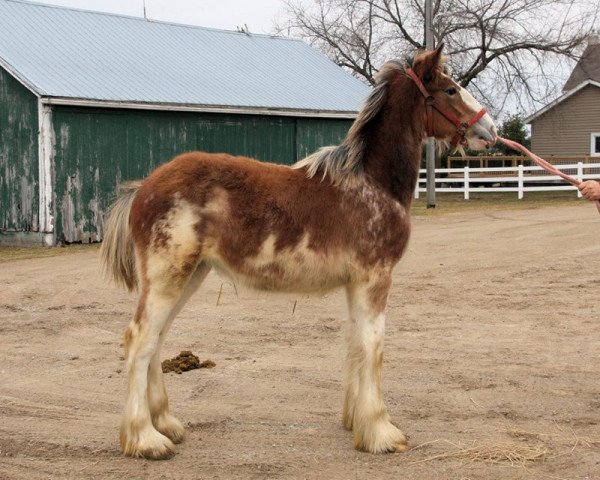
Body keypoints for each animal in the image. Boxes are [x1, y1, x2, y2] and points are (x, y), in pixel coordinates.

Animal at [101, 46, 496, 462]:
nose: (490, 131)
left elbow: (356, 343)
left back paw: (165, 424)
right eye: (450, 89)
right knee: (140, 341)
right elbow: (374, 346)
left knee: (157, 341)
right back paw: (145, 438)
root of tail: (143, 187)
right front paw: (381, 433)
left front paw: (356, 422)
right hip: (168, 278)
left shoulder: (356, 284)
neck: (370, 184)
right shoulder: (375, 278)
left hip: (190, 276)